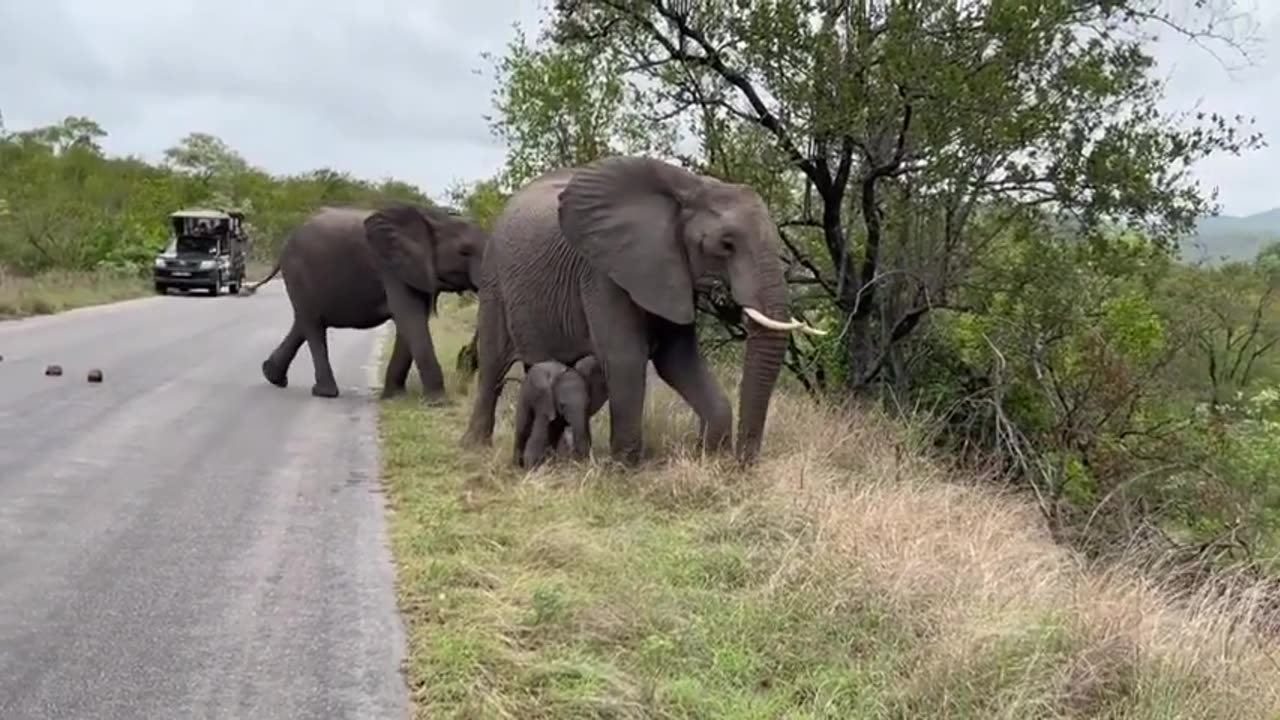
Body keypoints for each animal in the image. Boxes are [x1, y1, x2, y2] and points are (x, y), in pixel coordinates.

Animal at [250, 203, 488, 397]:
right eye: (464, 251)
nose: (467, 360)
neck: (433, 216)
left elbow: (411, 321)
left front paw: (394, 396)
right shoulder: (390, 267)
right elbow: (410, 318)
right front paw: (437, 401)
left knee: (305, 322)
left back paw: (272, 376)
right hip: (298, 271)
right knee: (313, 325)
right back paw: (324, 392)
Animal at [465, 154, 824, 461]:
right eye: (726, 244)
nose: (742, 463)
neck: (690, 188)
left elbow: (677, 359)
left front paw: (709, 456)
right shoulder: (604, 273)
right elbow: (626, 358)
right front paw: (625, 469)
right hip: (494, 276)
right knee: (493, 364)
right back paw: (477, 448)